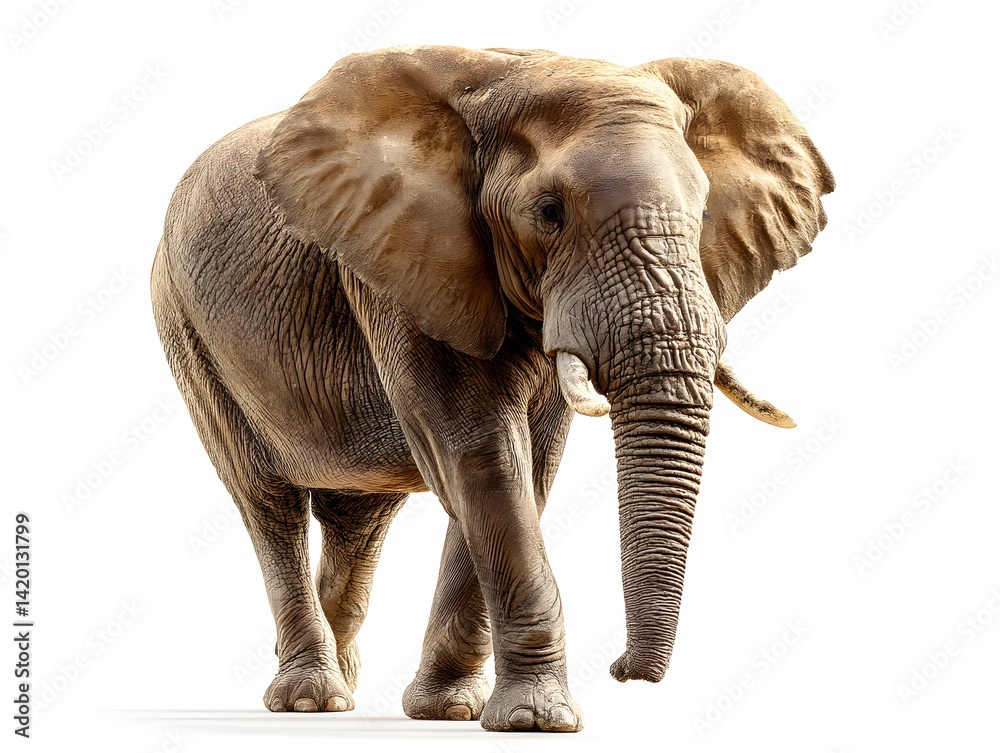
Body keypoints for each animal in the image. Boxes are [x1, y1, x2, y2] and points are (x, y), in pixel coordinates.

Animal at [150, 45, 833, 732]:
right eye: (550, 212)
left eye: (702, 211)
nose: (624, 670)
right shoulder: (402, 263)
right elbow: (481, 454)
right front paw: (537, 721)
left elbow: (530, 463)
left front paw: (450, 710)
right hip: (186, 330)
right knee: (269, 504)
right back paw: (309, 699)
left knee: (359, 519)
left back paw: (339, 689)